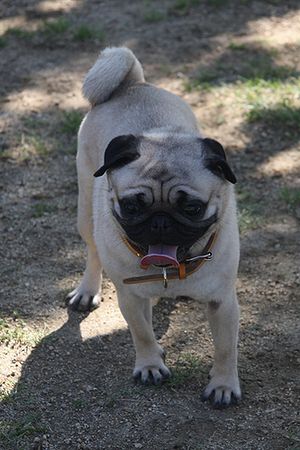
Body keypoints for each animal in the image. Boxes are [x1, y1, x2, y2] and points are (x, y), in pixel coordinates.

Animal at [65, 47, 241, 406]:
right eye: (132, 206)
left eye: (192, 208)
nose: (160, 222)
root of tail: (131, 84)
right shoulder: (130, 296)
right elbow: (142, 332)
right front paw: (149, 365)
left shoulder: (223, 303)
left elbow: (225, 348)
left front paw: (224, 385)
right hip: (86, 210)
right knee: (92, 252)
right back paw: (87, 290)